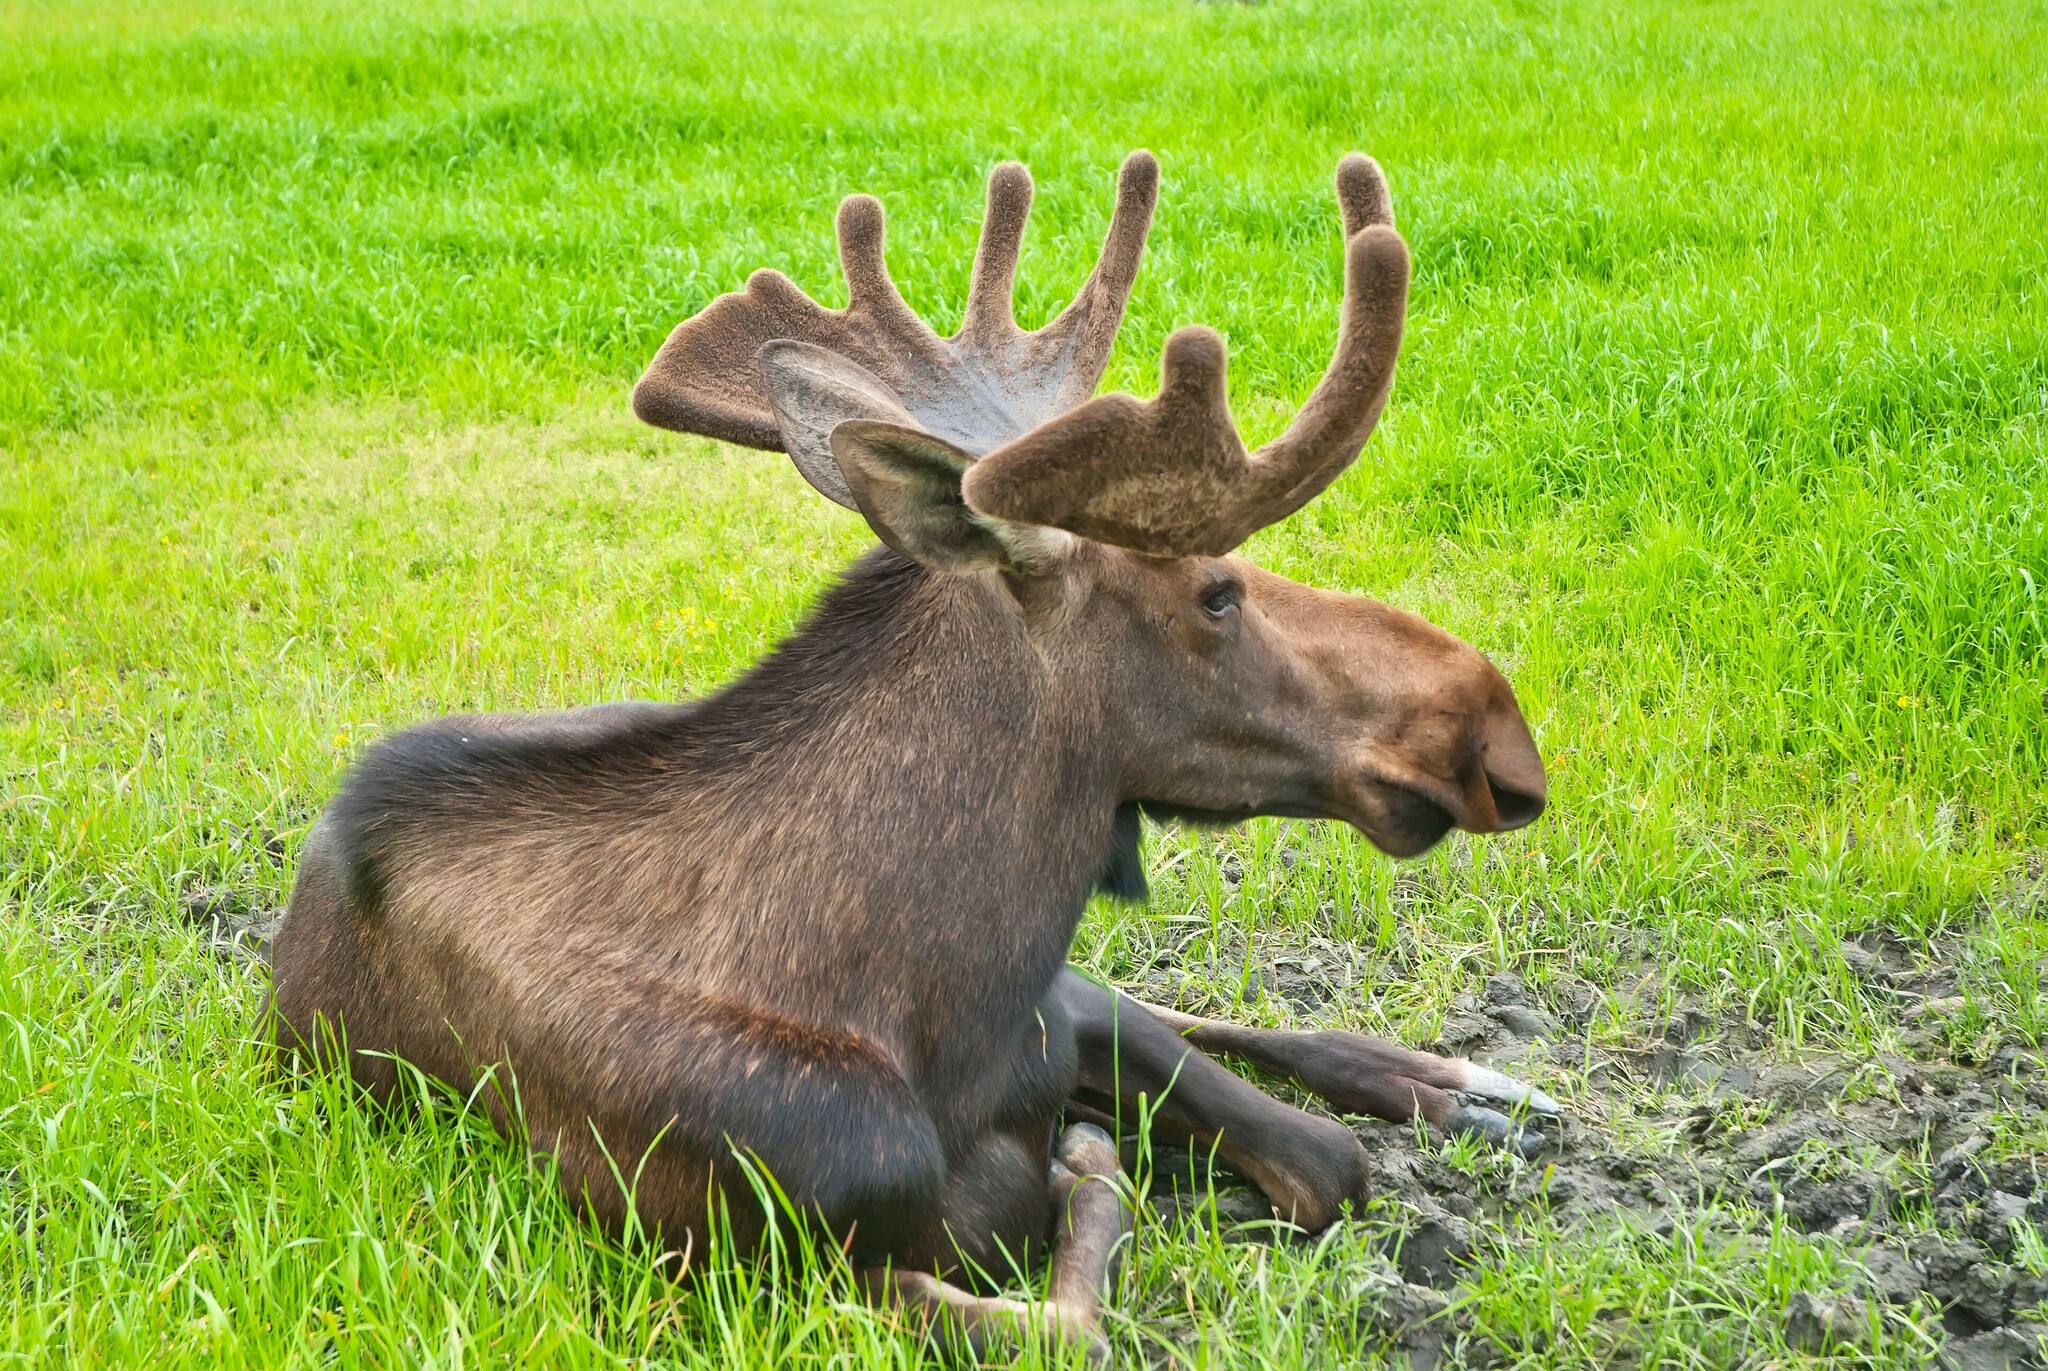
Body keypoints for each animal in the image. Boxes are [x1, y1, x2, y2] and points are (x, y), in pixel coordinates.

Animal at [272, 152, 1548, 1360]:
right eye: (1215, 592)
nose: (1494, 729)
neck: (933, 1025)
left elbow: (1319, 1159)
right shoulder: (728, 1264)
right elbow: (1070, 1307)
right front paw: (1088, 1163)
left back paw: (1463, 1082)